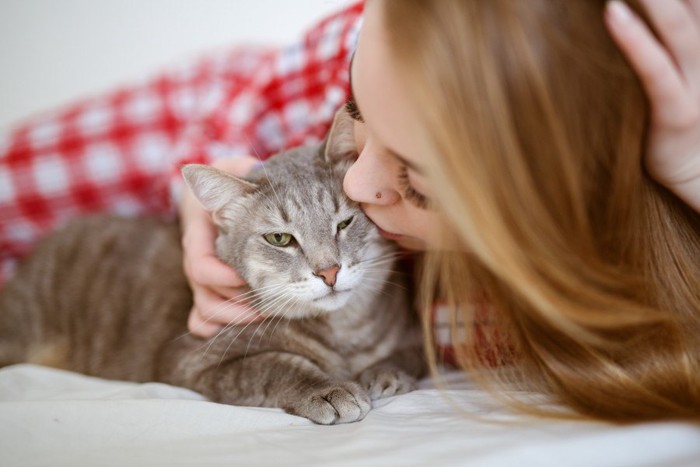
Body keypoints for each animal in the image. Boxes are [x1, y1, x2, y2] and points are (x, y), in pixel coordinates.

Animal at [0, 109, 424, 424]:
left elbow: (409, 353)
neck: (343, 332)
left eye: (344, 223)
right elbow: (274, 364)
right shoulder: (193, 362)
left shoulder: (413, 333)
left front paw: (383, 372)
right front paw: (329, 389)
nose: (329, 272)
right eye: (280, 239)